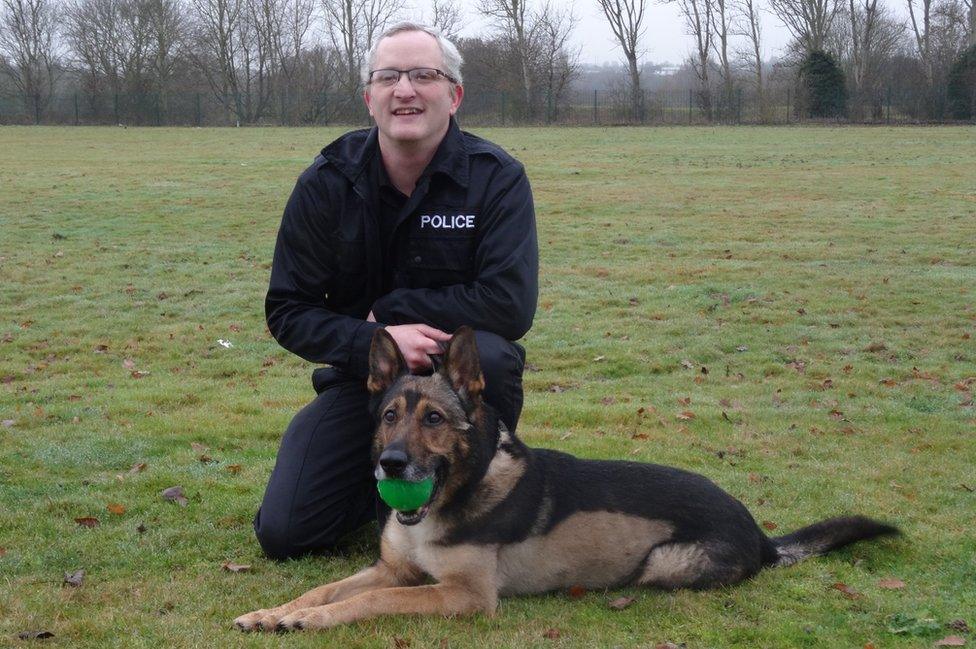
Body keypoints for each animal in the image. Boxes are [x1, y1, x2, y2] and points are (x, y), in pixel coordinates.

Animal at [233, 326, 896, 632]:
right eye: (389, 416)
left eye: (435, 420)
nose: (390, 465)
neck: (458, 492)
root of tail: (759, 533)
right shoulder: (395, 568)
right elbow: (326, 588)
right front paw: (275, 612)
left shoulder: (463, 596)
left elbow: (371, 600)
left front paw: (310, 622)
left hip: (661, 564)